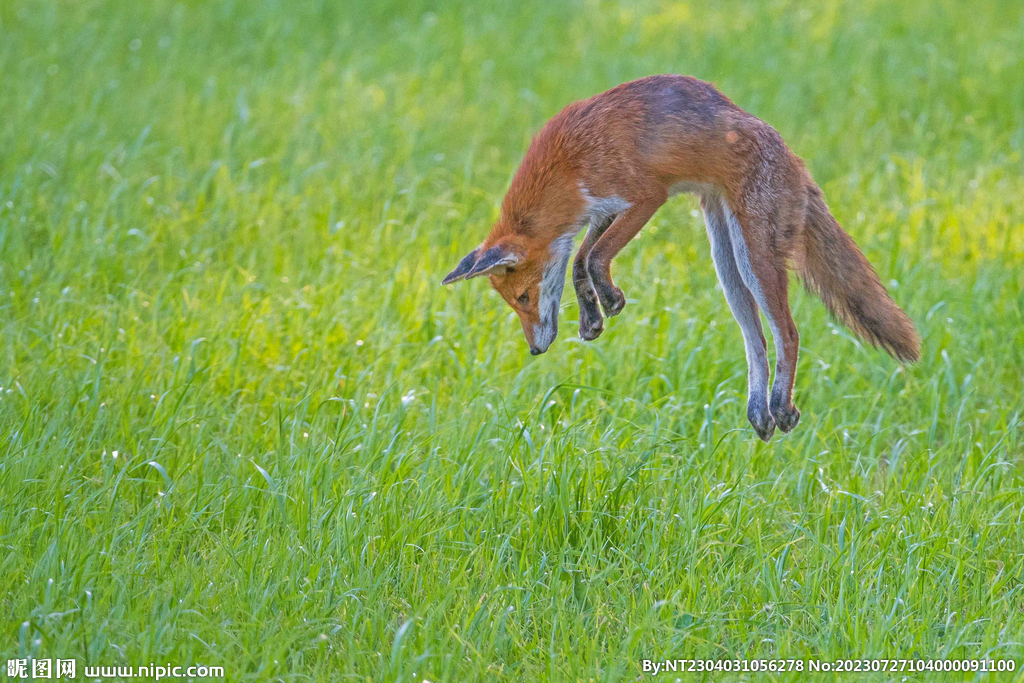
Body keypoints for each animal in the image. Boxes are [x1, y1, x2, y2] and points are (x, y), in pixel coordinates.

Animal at [440, 74, 921, 444]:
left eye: (523, 298)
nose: (536, 350)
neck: (569, 163)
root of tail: (793, 156)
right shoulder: (603, 211)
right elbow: (579, 262)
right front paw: (592, 317)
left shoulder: (644, 195)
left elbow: (595, 257)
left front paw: (609, 300)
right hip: (726, 261)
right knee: (757, 340)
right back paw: (760, 411)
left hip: (754, 256)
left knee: (788, 331)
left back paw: (781, 406)